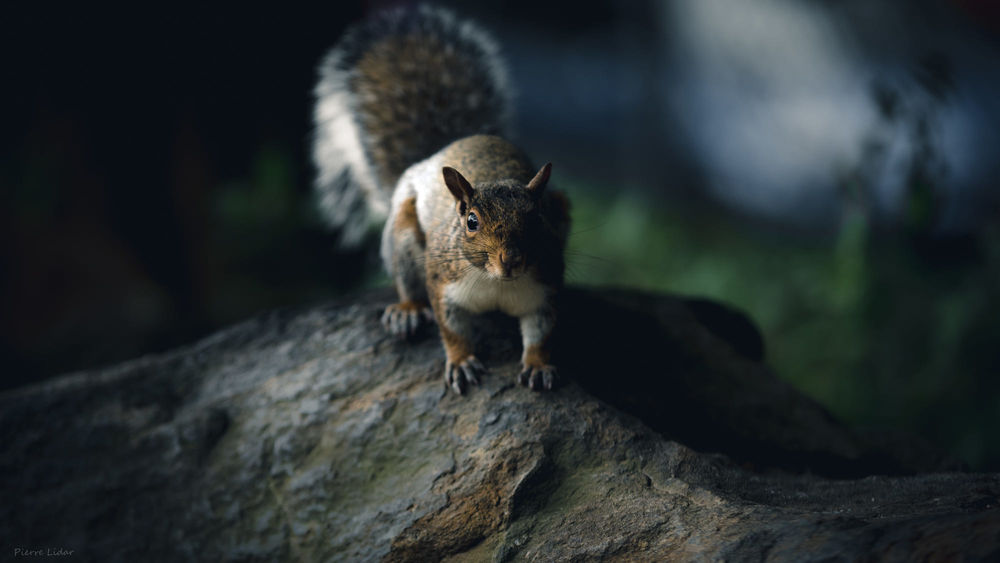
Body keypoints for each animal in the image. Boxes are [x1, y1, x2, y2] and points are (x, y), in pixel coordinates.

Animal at [313, 5, 570, 394]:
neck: (495, 283)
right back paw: (407, 311)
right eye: (471, 221)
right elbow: (451, 329)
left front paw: (539, 366)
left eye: (539, 217)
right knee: (407, 278)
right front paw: (462, 362)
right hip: (403, 235)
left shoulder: (546, 287)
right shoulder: (442, 280)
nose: (511, 260)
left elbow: (542, 332)